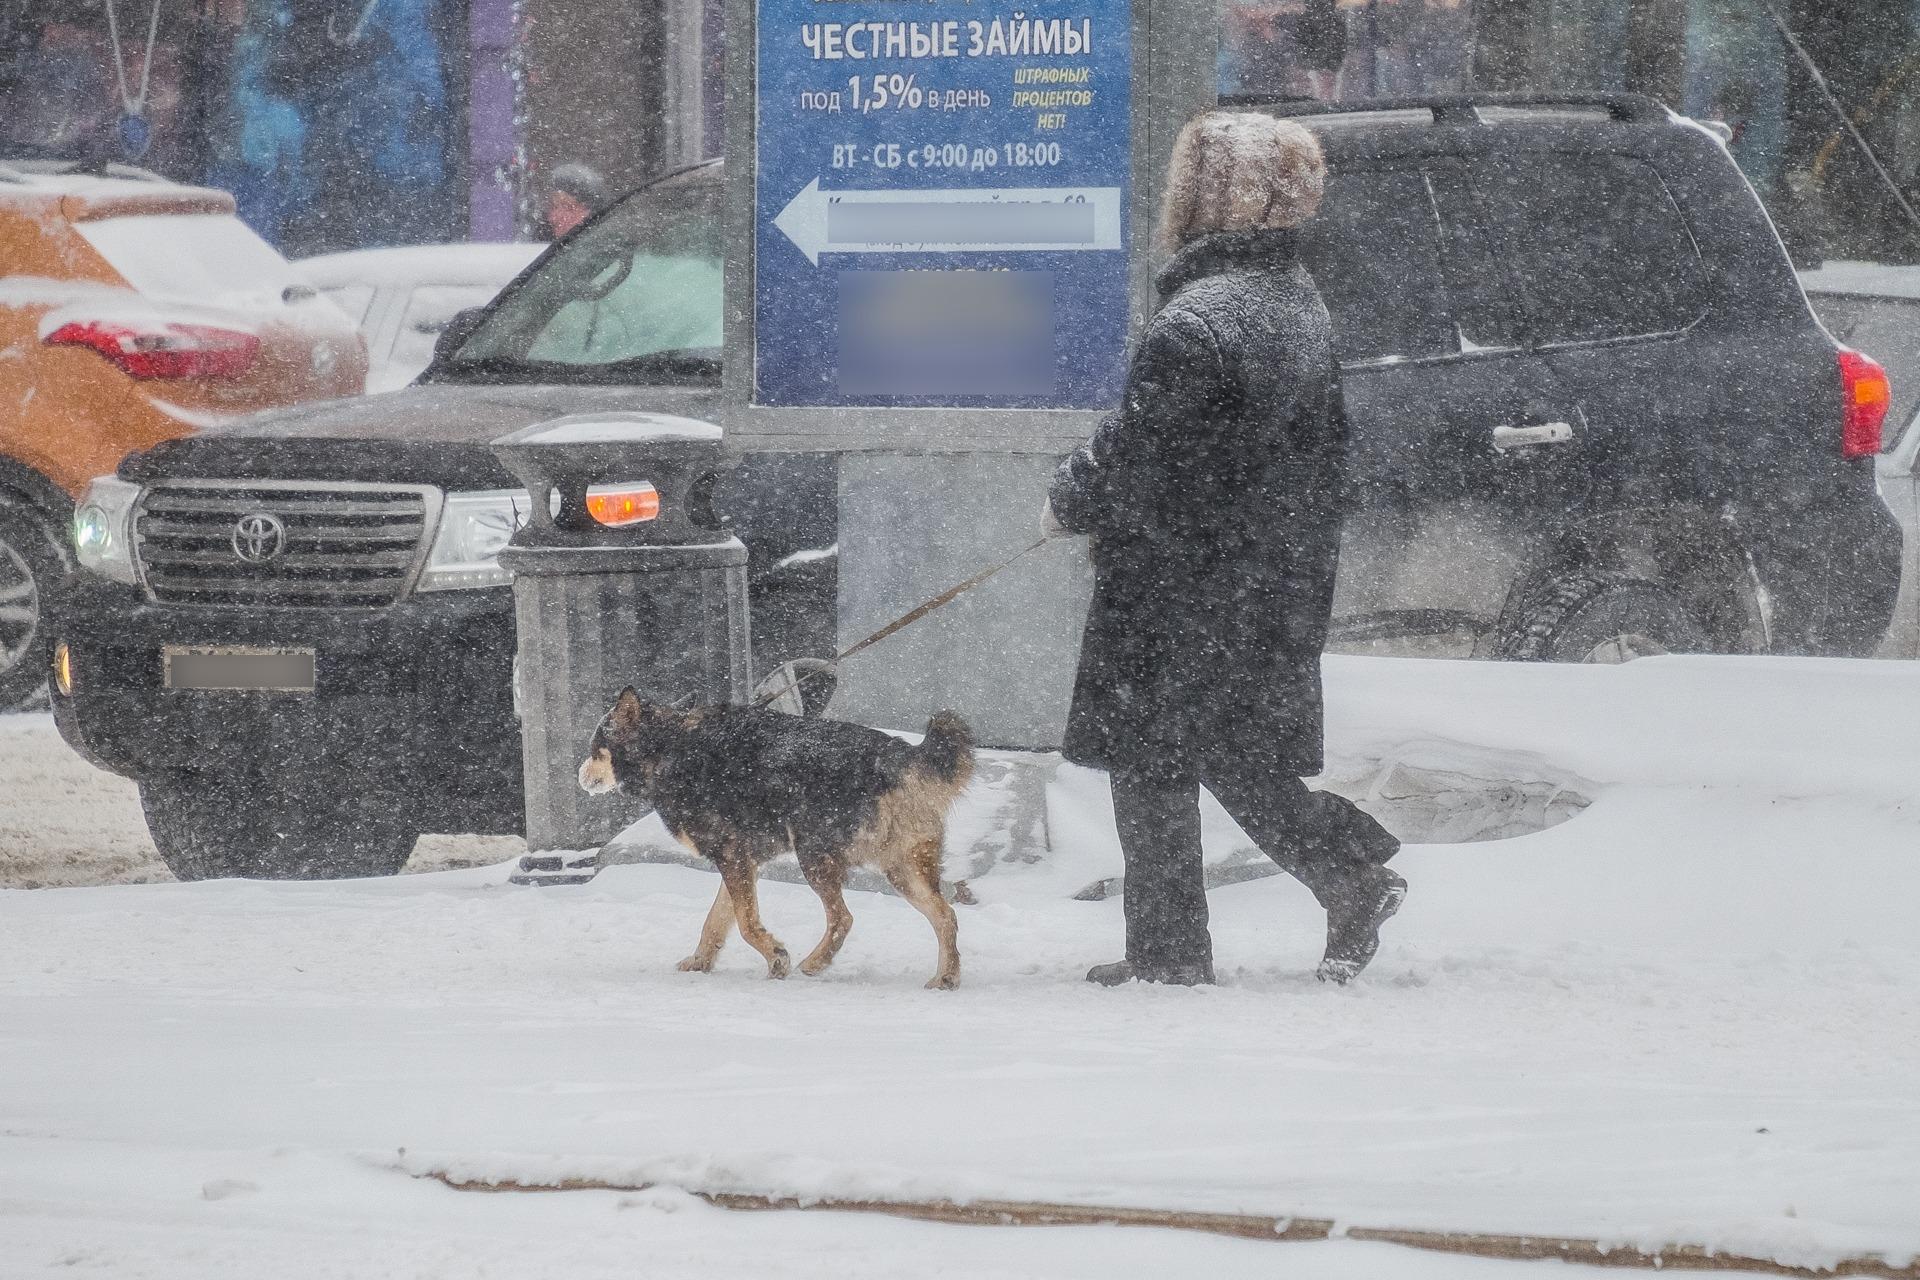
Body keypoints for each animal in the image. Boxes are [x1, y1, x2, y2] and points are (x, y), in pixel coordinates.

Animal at [576, 690, 975, 990]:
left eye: (596, 748)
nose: (579, 776)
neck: (670, 747)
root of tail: (901, 754)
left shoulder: (733, 856)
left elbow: (746, 923)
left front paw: (776, 958)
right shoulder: (740, 862)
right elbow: (716, 921)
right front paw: (701, 962)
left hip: (814, 855)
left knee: (843, 918)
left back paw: (814, 963)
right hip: (903, 870)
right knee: (946, 915)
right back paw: (946, 977)